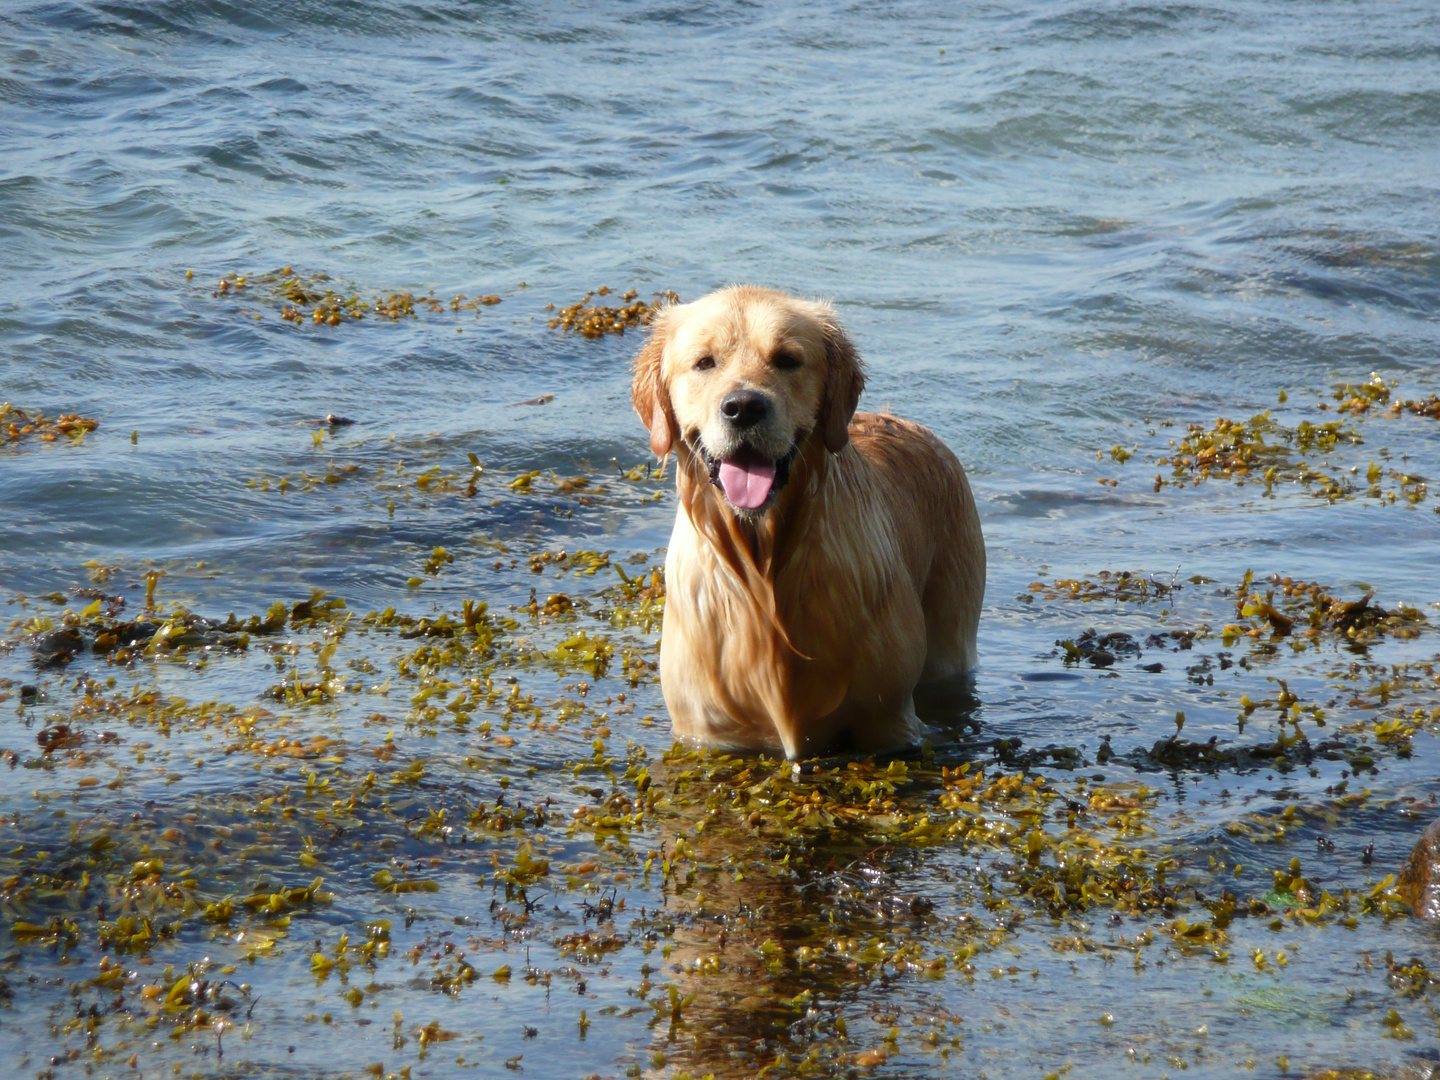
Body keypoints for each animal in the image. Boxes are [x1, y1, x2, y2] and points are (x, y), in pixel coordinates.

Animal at [636, 288, 984, 760]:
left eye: (787, 359)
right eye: (705, 362)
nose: (743, 407)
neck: (764, 565)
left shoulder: (889, 720)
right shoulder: (708, 732)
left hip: (952, 636)